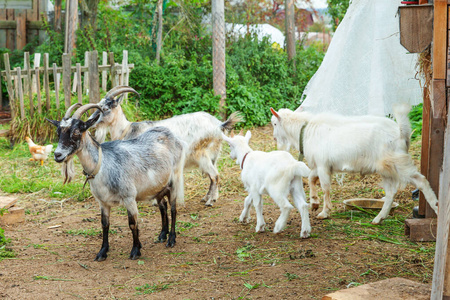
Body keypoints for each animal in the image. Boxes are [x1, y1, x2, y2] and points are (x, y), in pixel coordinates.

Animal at [92, 85, 244, 205]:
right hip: (213, 155)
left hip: (202, 155)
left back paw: (210, 201)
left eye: (105, 108)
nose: (91, 121)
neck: (127, 129)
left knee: (214, 175)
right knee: (213, 176)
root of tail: (219, 125)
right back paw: (209, 197)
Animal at [270, 104, 440, 224]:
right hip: (386, 169)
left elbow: (325, 188)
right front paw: (314, 202)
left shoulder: (323, 166)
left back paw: (437, 207)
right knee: (391, 192)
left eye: (274, 124)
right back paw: (378, 218)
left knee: (421, 180)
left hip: (398, 162)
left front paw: (324, 212)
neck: (305, 130)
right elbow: (311, 179)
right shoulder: (321, 165)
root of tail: (400, 132)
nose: (274, 139)